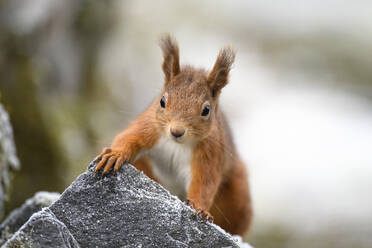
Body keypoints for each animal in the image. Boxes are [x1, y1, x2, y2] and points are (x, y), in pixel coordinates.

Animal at [95, 34, 253, 235]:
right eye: (162, 101)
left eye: (206, 110)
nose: (176, 131)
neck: (177, 144)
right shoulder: (148, 127)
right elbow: (127, 138)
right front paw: (114, 155)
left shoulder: (210, 153)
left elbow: (204, 183)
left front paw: (199, 208)